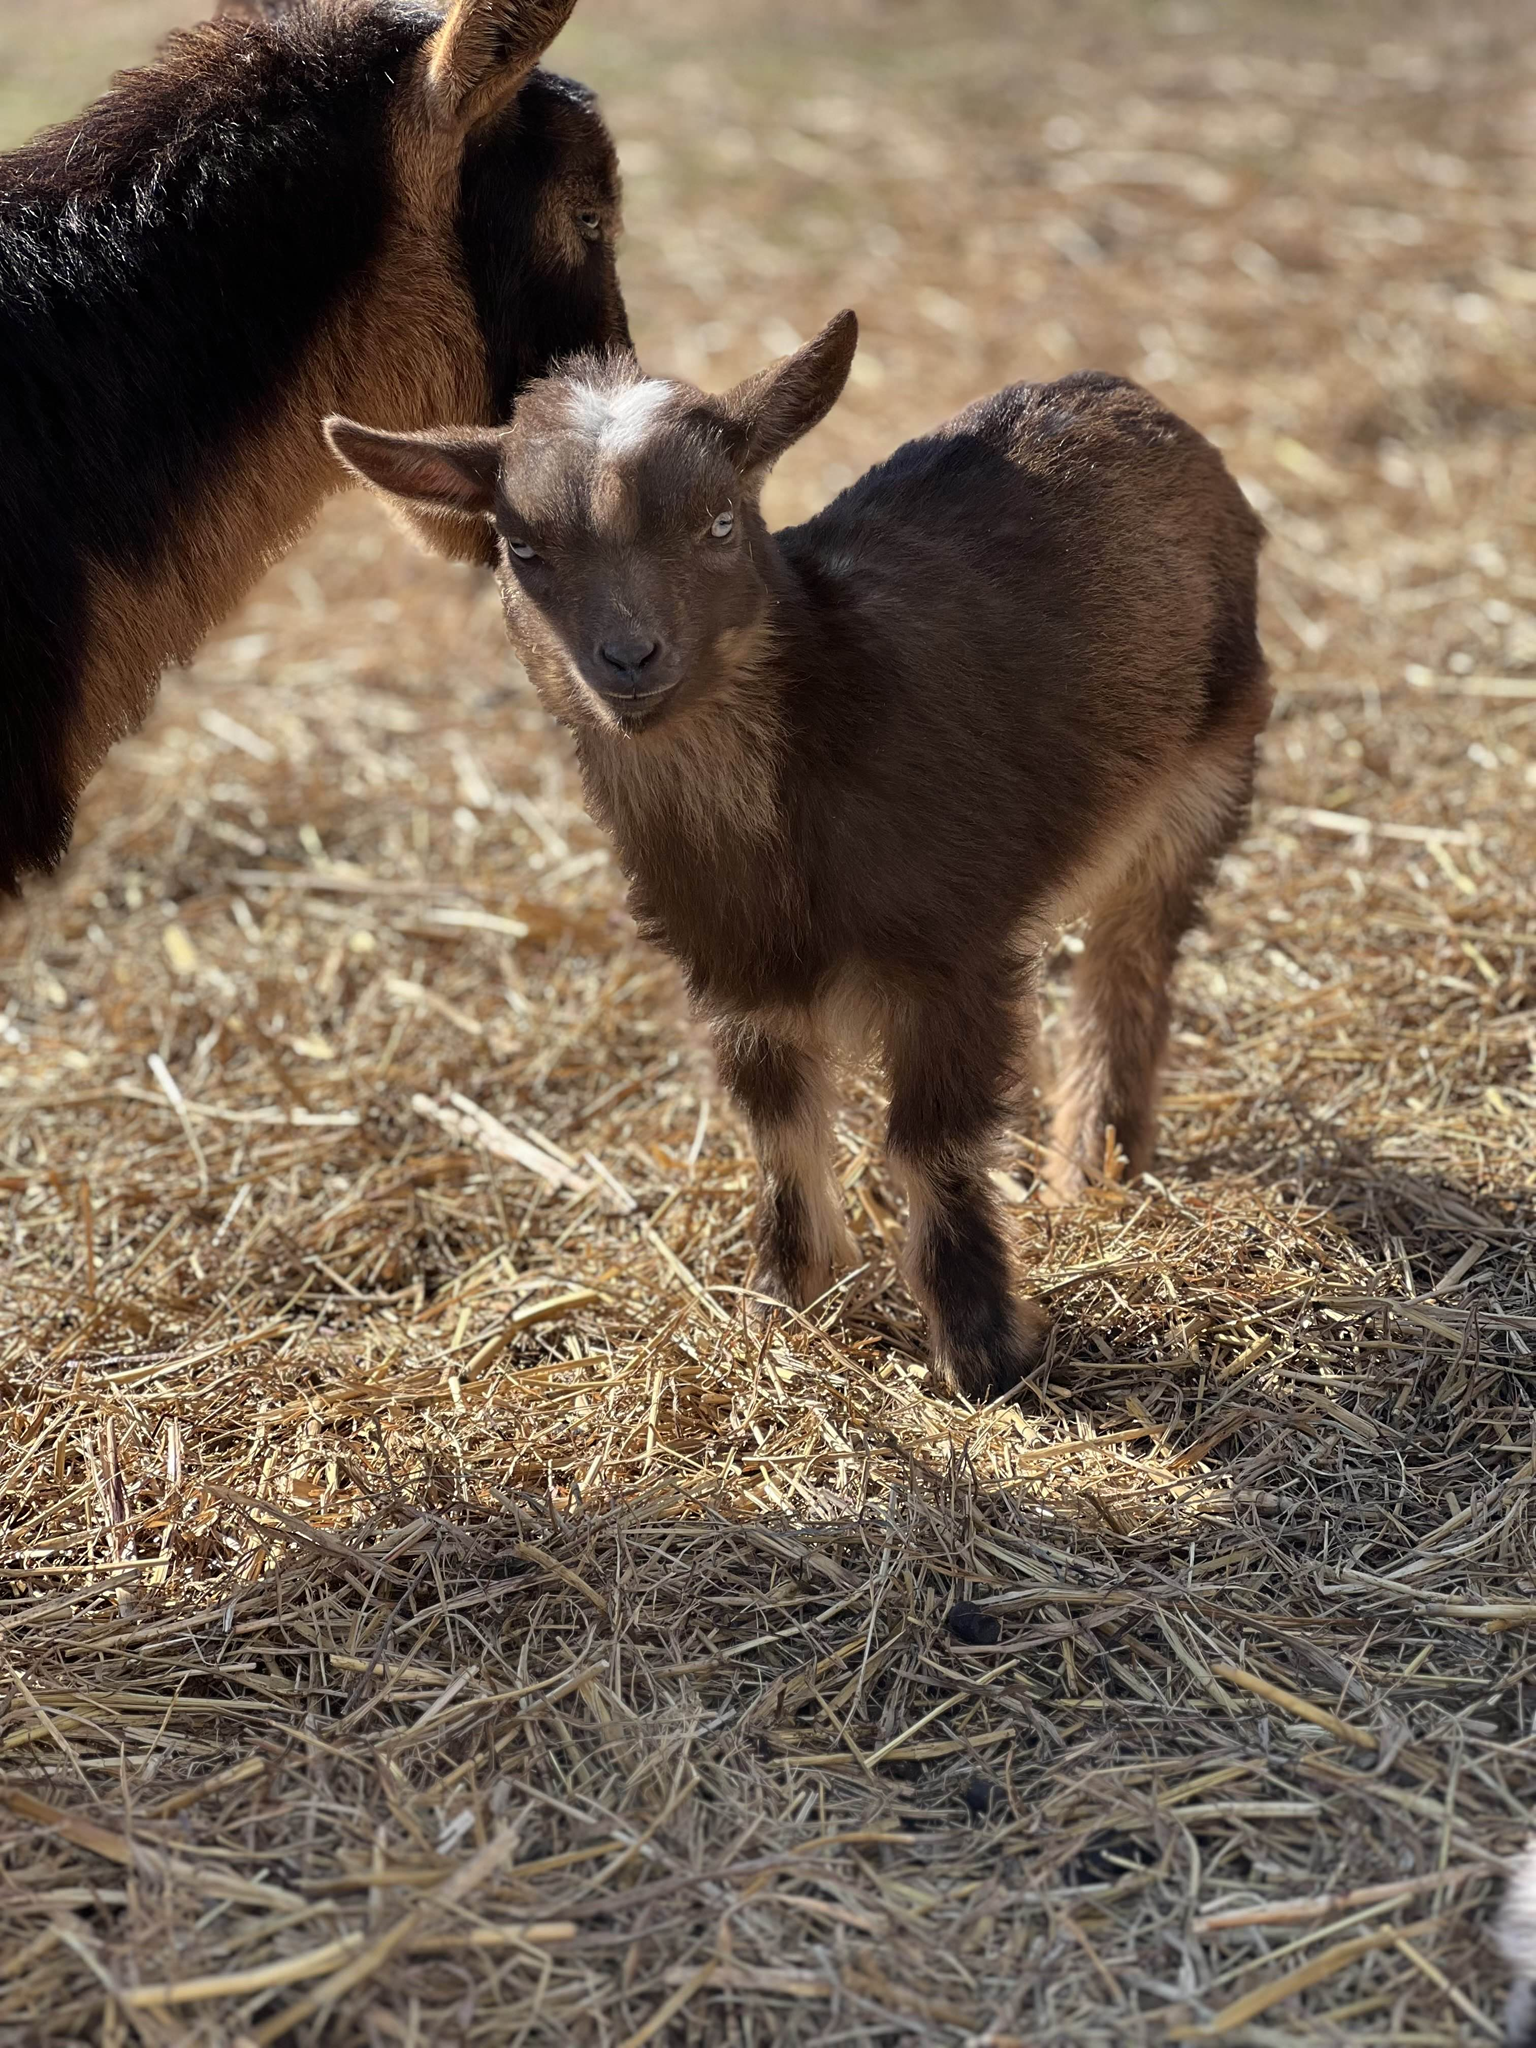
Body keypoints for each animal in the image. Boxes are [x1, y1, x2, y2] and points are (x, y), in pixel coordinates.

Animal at [326, 311, 1271, 1401]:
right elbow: (779, 1137)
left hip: (1201, 780)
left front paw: (987, 1346)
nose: (630, 659)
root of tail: (1127, 394)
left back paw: (1097, 1168)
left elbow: (930, 1143)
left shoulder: (951, 951)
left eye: (720, 522)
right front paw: (783, 1307)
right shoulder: (737, 977)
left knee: (1130, 965)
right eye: (521, 548)